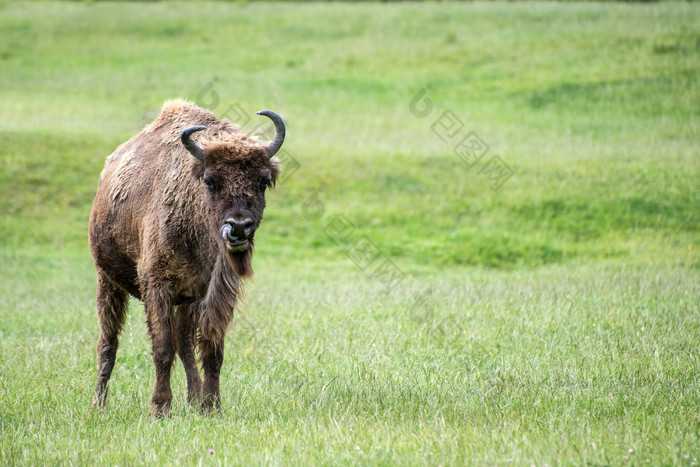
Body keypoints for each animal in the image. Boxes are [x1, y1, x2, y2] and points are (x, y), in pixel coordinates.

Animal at [89, 99, 284, 416]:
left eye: (263, 181)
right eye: (210, 181)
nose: (239, 227)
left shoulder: (212, 294)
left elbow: (211, 351)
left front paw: (211, 407)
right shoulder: (157, 287)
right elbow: (162, 349)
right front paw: (159, 408)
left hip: (184, 301)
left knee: (185, 346)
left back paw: (193, 400)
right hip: (107, 281)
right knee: (108, 342)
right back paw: (99, 403)